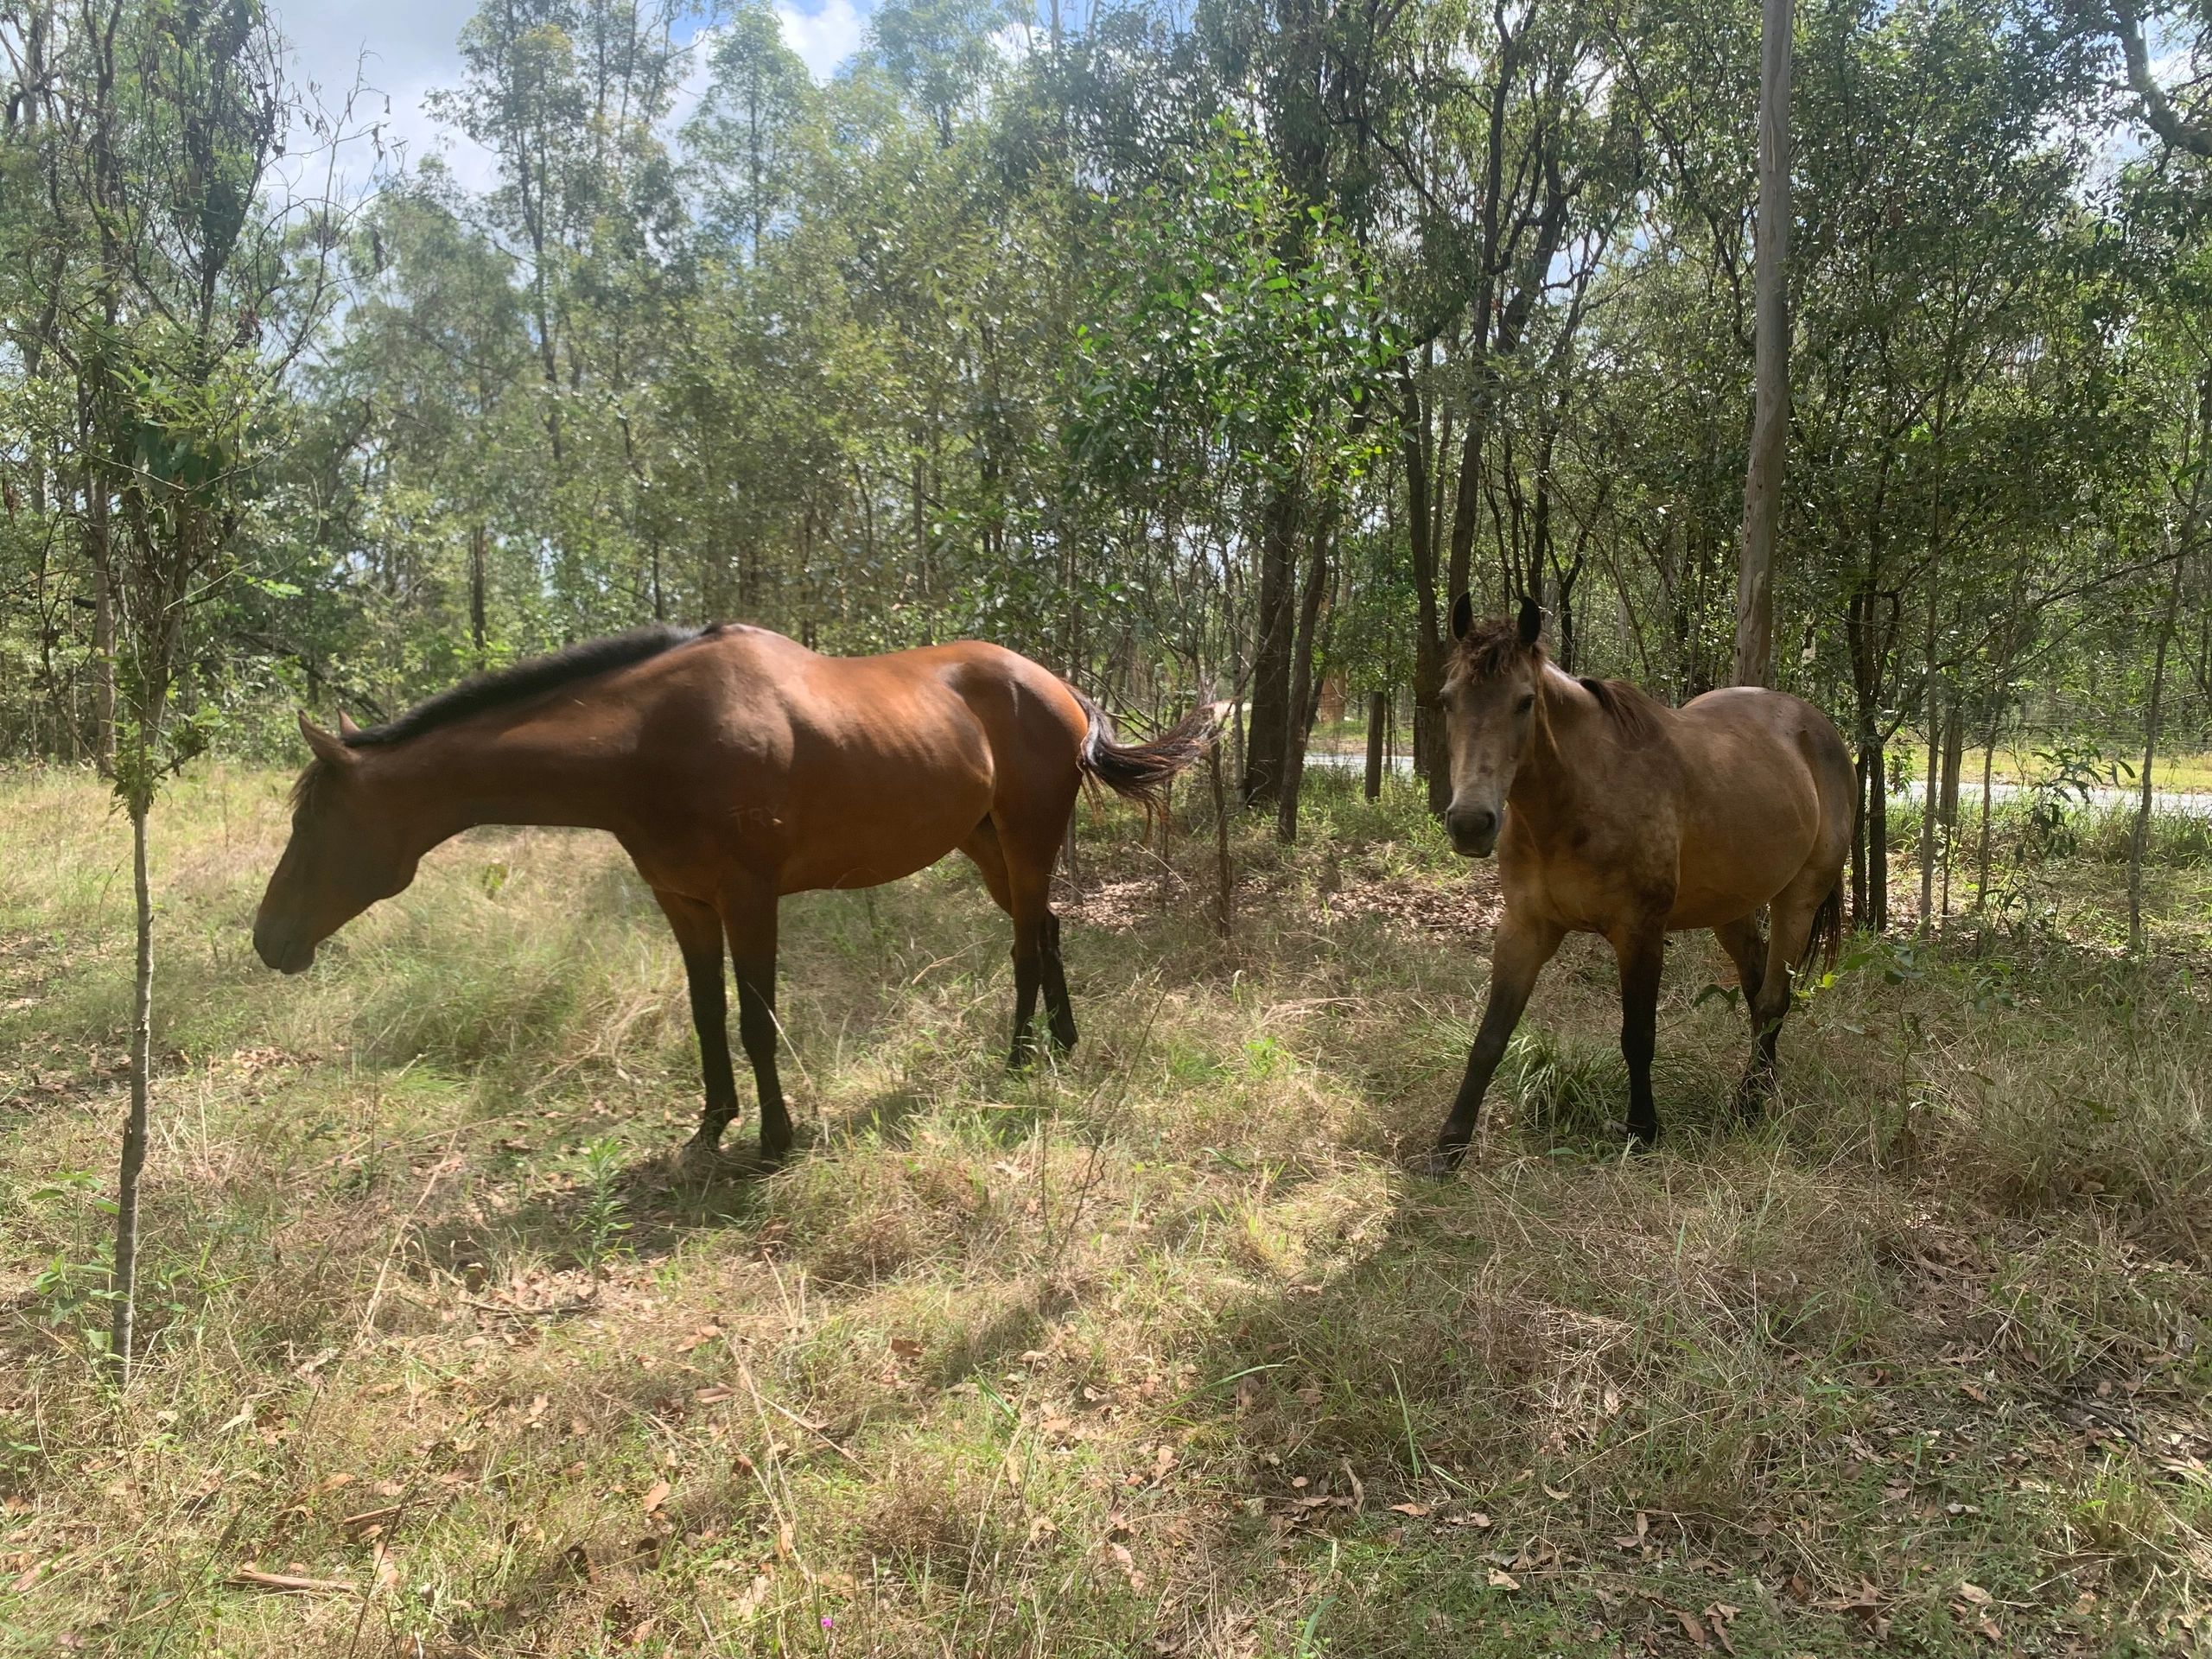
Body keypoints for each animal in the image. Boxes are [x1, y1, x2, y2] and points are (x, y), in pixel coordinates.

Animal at [253, 628, 1221, 1167]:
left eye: (313, 822)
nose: (268, 940)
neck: (650, 741)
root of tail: (1058, 687)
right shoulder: (683, 901)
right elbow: (707, 1015)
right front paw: (710, 1127)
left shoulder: (752, 898)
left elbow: (757, 1020)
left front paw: (774, 1139)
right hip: (985, 843)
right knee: (1044, 927)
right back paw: (1059, 1041)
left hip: (1024, 836)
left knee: (1026, 939)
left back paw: (1019, 1057)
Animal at [1424, 597, 1858, 1167]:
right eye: (1448, 700)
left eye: (1524, 702)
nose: (1471, 824)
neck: (1576, 802)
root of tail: (1817, 729)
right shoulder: (1524, 929)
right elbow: (1490, 1037)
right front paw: (1448, 1145)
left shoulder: (1640, 932)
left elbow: (1638, 1035)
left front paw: (1642, 1128)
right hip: (1731, 907)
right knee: (1757, 984)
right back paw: (1762, 1086)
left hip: (1798, 899)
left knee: (1771, 998)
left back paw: (1746, 1105)